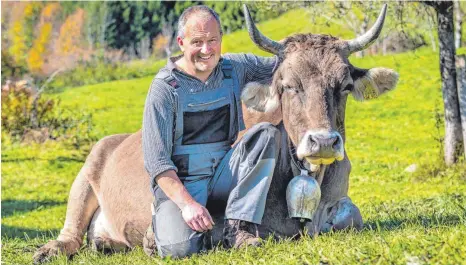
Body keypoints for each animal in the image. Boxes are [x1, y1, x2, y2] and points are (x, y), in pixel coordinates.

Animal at [32, 4, 398, 262]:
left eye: (345, 85)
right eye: (287, 85)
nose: (322, 141)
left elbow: (352, 217)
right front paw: (155, 239)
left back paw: (105, 243)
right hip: (84, 177)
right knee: (71, 233)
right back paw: (52, 250)